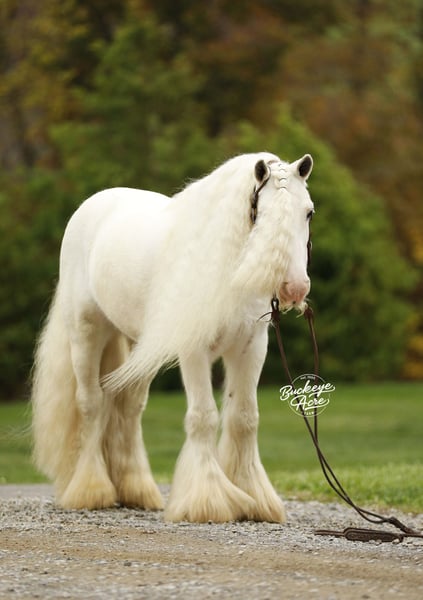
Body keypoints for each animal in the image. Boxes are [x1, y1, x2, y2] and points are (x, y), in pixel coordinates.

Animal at [31, 151, 314, 523]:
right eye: (260, 212)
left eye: (308, 211)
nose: (294, 288)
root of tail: (94, 205)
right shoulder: (194, 350)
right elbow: (203, 418)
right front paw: (207, 501)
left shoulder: (251, 347)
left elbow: (243, 418)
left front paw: (254, 498)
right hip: (86, 332)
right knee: (91, 403)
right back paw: (91, 490)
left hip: (140, 348)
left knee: (127, 406)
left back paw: (137, 490)